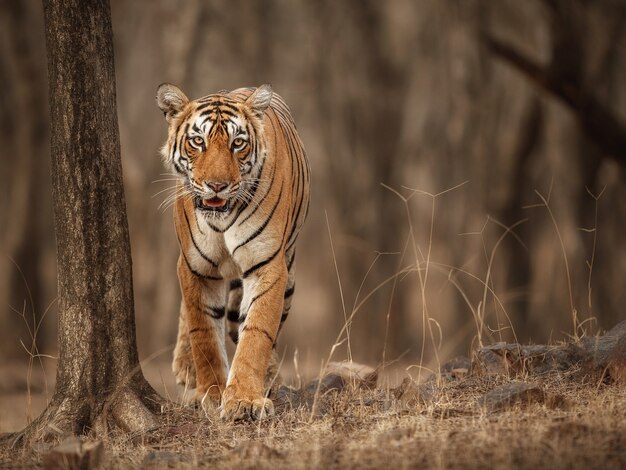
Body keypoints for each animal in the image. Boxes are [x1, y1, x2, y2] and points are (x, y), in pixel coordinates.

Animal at [155, 82, 308, 420]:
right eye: (197, 141)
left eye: (238, 143)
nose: (217, 186)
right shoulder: (194, 267)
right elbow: (203, 333)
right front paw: (211, 394)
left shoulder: (268, 265)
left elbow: (257, 333)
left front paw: (244, 400)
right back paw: (185, 367)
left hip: (289, 276)